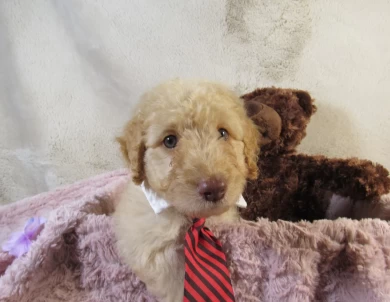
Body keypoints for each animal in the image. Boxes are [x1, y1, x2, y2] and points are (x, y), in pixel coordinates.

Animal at [112, 79, 258, 300]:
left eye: (223, 133)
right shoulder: (155, 252)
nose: (214, 189)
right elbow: (174, 285)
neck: (192, 219)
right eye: (170, 141)